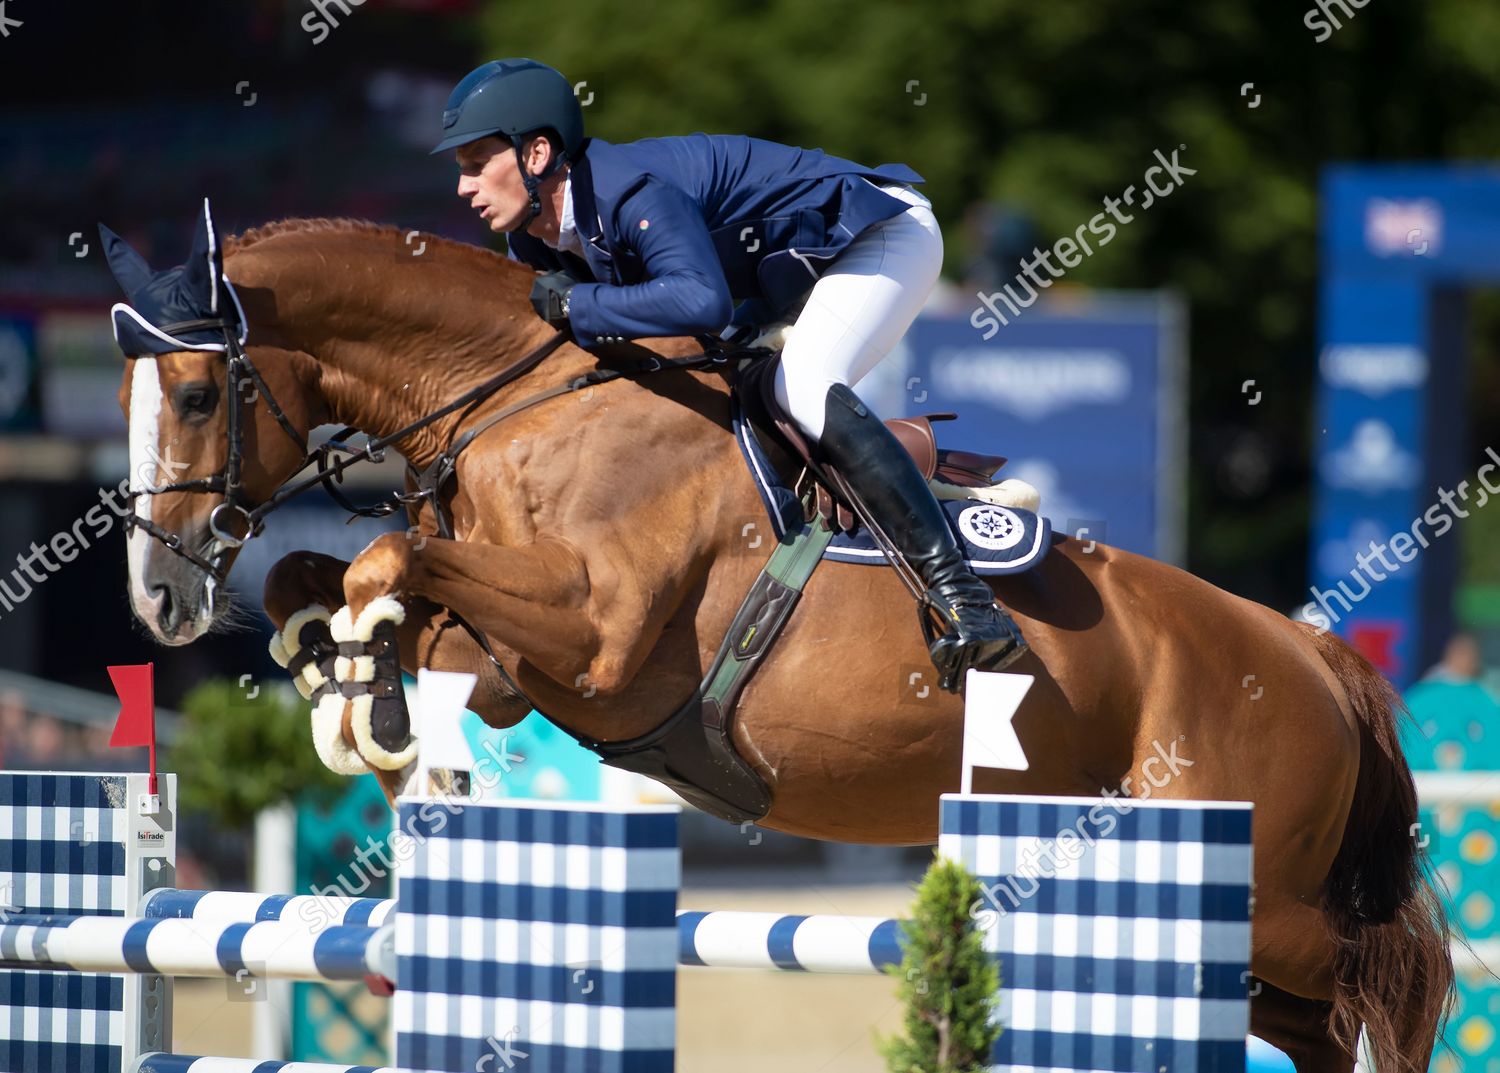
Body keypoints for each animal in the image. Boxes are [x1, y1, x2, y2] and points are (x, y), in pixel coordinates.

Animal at [117, 214, 1452, 1068]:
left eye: (195, 394)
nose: (161, 597)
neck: (518, 398)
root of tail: (1311, 656)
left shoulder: (598, 638)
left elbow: (392, 559)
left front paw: (370, 696)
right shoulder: (512, 666)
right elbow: (338, 575)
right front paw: (353, 684)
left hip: (1262, 882)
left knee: (1376, 981)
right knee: (1317, 1021)